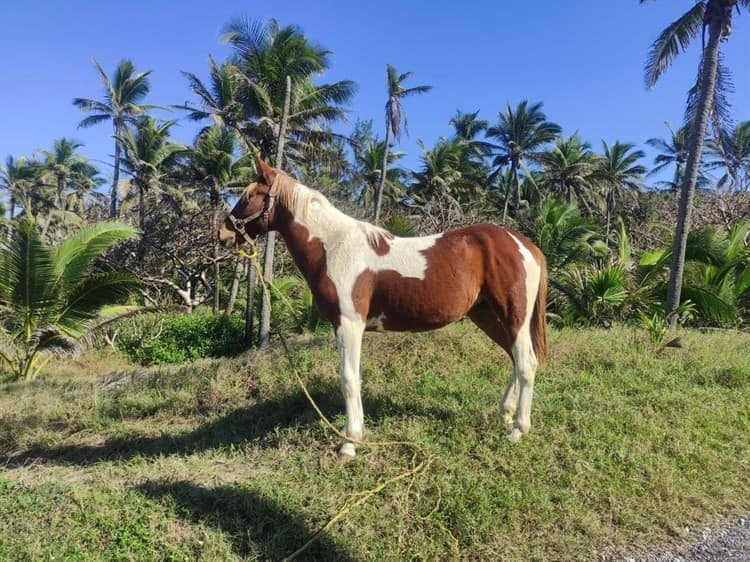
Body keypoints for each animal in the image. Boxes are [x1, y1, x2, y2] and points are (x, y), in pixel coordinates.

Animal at [220, 156, 548, 456]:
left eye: (249, 195)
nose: (224, 232)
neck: (334, 247)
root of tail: (526, 246)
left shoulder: (349, 325)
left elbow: (349, 379)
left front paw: (350, 442)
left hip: (513, 315)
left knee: (527, 363)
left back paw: (518, 429)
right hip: (488, 315)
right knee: (515, 359)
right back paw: (505, 414)